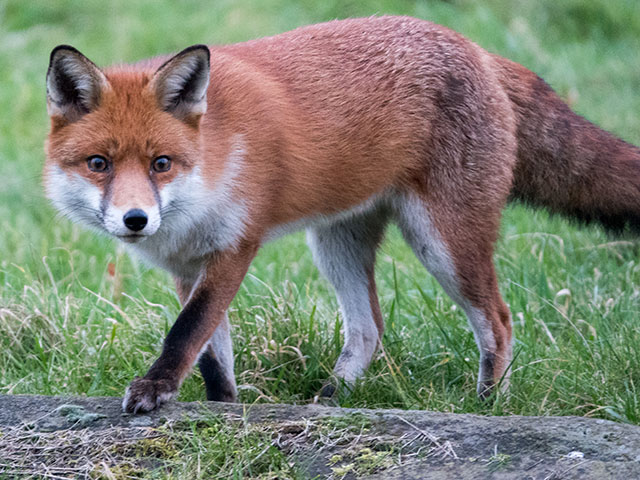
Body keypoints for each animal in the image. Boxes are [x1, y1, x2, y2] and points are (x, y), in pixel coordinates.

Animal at [43, 15, 640, 412]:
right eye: (99, 164)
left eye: (161, 163)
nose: (136, 220)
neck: (210, 165)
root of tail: (473, 45)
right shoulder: (187, 265)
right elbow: (211, 353)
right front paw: (221, 406)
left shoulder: (235, 247)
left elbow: (186, 332)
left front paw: (157, 388)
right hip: (335, 243)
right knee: (369, 328)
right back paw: (330, 399)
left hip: (443, 242)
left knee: (498, 320)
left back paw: (489, 404)